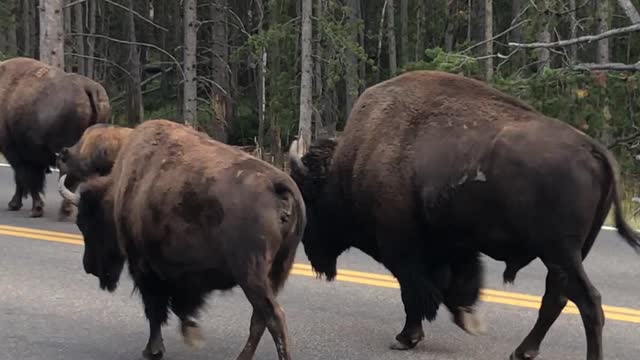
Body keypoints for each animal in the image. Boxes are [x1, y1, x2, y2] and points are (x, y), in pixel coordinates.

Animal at [58, 119, 306, 358]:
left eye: (86, 224)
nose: (89, 267)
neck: (123, 188)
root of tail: (277, 184)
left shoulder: (145, 269)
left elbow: (155, 309)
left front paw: (154, 349)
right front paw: (189, 332)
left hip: (251, 274)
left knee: (272, 316)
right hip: (275, 273)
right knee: (259, 318)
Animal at [288, 70, 640, 360]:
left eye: (310, 200)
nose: (311, 253)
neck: (354, 161)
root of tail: (593, 148)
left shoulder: (402, 246)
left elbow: (414, 289)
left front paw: (406, 337)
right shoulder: (453, 246)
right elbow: (455, 284)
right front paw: (468, 319)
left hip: (559, 251)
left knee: (588, 302)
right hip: (568, 254)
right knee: (558, 297)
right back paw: (522, 351)